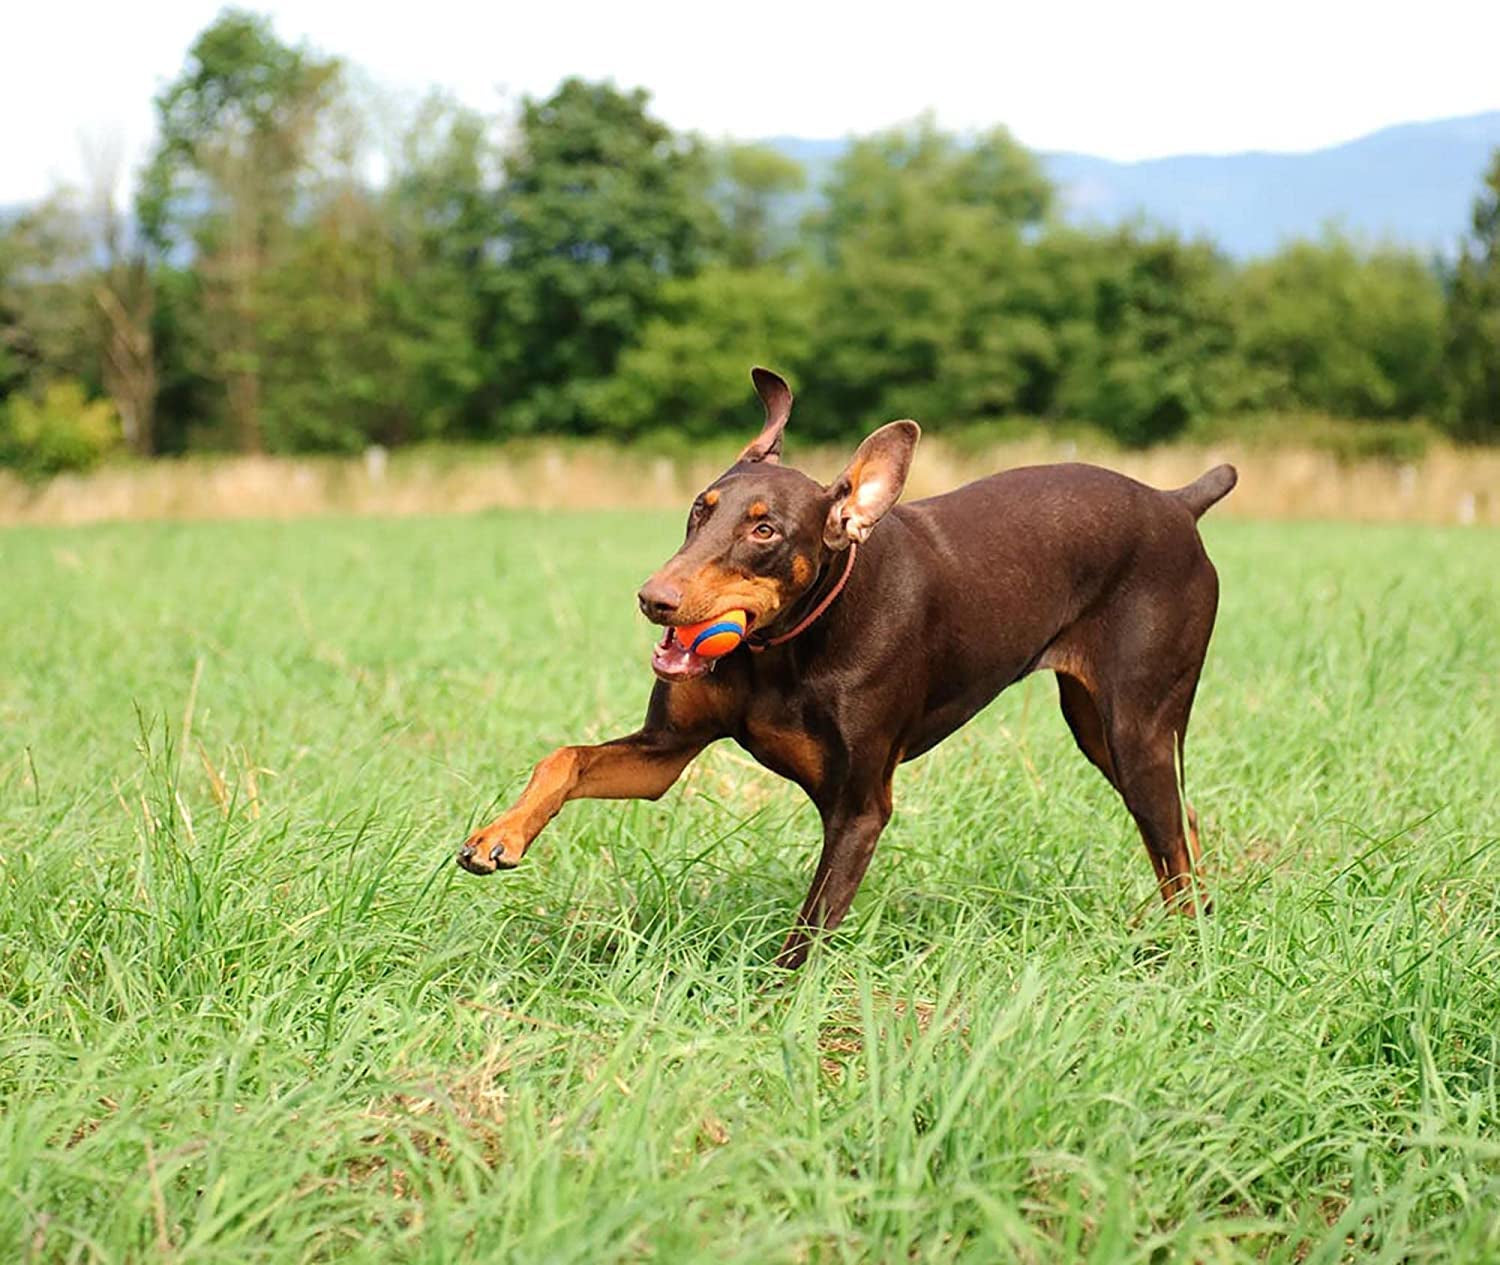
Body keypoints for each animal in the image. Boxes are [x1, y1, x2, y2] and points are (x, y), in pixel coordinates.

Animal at [456, 366, 1230, 972]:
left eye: (764, 530)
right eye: (700, 509)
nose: (655, 598)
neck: (781, 651)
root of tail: (1175, 502)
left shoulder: (858, 808)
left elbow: (807, 932)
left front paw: (771, 1012)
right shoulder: (663, 753)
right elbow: (564, 758)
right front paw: (498, 836)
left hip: (1136, 727)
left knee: (1171, 844)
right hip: (1101, 730)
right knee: (1181, 826)